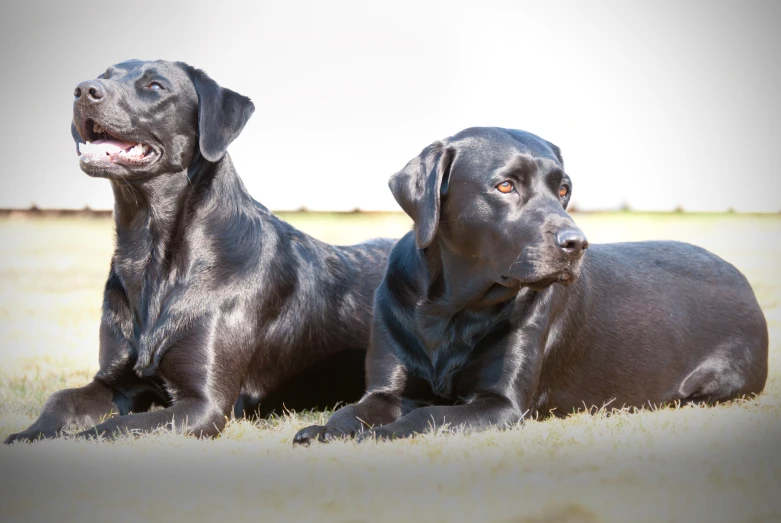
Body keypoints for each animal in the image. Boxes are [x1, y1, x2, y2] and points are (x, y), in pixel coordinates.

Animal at [4, 61, 396, 446]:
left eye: (156, 86)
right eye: (104, 76)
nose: (84, 89)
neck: (150, 257)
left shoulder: (204, 405)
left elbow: (113, 428)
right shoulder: (114, 381)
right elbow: (60, 399)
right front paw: (28, 434)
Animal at [292, 127, 768, 442]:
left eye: (564, 190)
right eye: (505, 186)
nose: (576, 243)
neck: (452, 312)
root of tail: (740, 277)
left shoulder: (499, 404)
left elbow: (423, 419)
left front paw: (371, 437)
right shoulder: (384, 388)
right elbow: (350, 412)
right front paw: (321, 431)